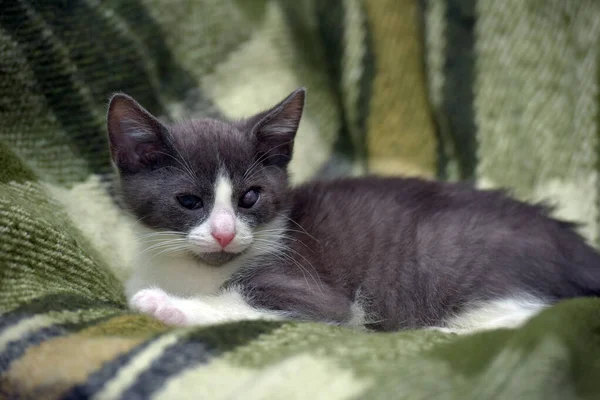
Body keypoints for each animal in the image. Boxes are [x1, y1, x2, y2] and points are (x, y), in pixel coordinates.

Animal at [105, 88, 600, 334]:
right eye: (190, 201)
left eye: (250, 197)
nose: (225, 233)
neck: (192, 270)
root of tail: (573, 243)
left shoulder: (315, 295)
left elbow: (241, 303)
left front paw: (164, 304)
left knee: (537, 312)